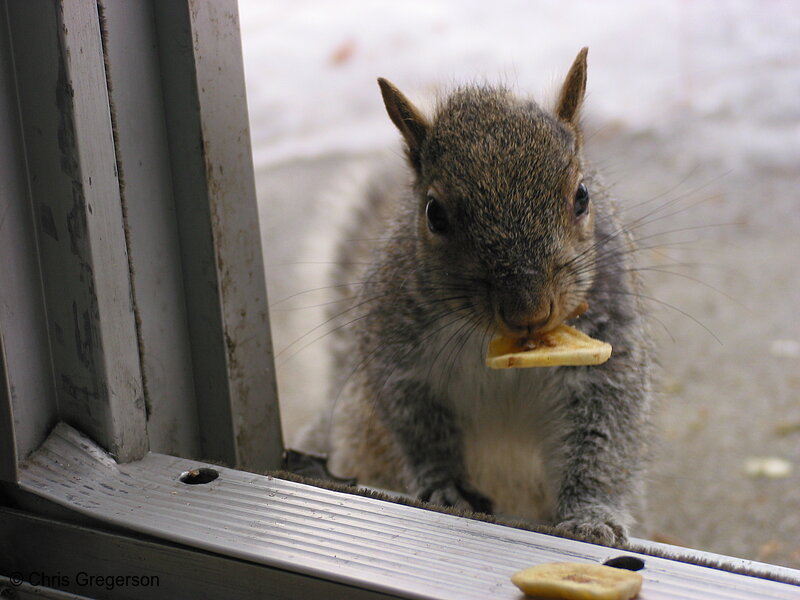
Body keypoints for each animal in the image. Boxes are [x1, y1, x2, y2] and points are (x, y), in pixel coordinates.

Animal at [296, 47, 652, 544]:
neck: (500, 344)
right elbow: (416, 426)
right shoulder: (398, 350)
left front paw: (591, 516)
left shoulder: (608, 343)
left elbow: (603, 437)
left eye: (582, 195)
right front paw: (445, 487)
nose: (529, 311)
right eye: (434, 213)